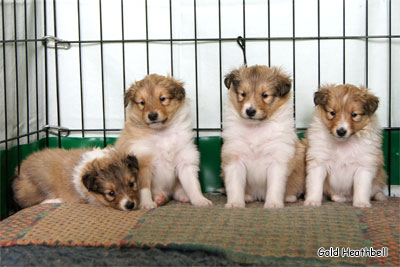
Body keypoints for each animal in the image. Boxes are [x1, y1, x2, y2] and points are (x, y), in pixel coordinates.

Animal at [115, 74, 212, 210]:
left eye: (162, 98)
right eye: (142, 102)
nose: (152, 116)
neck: (161, 133)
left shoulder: (185, 159)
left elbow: (192, 184)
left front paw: (200, 200)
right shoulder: (142, 162)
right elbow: (144, 188)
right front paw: (147, 204)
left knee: (176, 191)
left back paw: (182, 196)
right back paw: (158, 198)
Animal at [220, 65, 302, 209]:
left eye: (265, 95)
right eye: (243, 94)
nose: (250, 111)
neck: (256, 128)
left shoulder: (278, 159)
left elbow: (275, 186)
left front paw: (273, 204)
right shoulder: (234, 157)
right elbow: (235, 185)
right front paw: (235, 203)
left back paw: (289, 197)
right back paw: (247, 197)